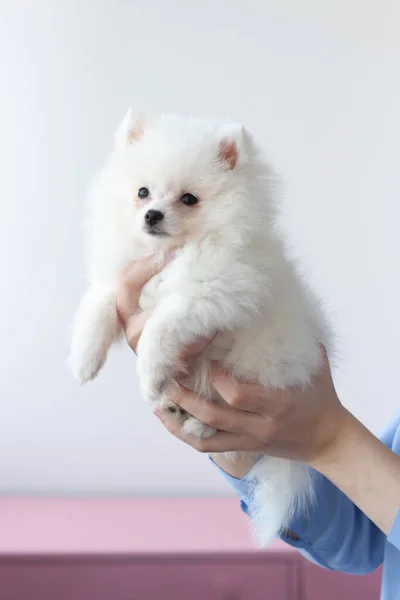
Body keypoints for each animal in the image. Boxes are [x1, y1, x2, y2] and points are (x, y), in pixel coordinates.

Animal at [69, 108, 332, 544]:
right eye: (143, 192)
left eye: (188, 199)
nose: (152, 215)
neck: (171, 253)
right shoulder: (123, 281)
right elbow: (98, 305)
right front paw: (83, 360)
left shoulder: (214, 291)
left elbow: (162, 325)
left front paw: (150, 373)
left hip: (257, 368)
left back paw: (195, 421)